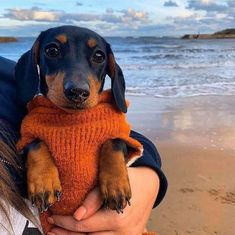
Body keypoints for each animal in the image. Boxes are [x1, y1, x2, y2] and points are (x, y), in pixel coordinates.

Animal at [15, 24, 143, 230]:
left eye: (99, 56)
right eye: (52, 50)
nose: (77, 92)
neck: (72, 118)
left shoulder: (124, 137)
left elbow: (113, 143)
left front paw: (115, 185)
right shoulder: (27, 134)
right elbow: (36, 142)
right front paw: (44, 181)